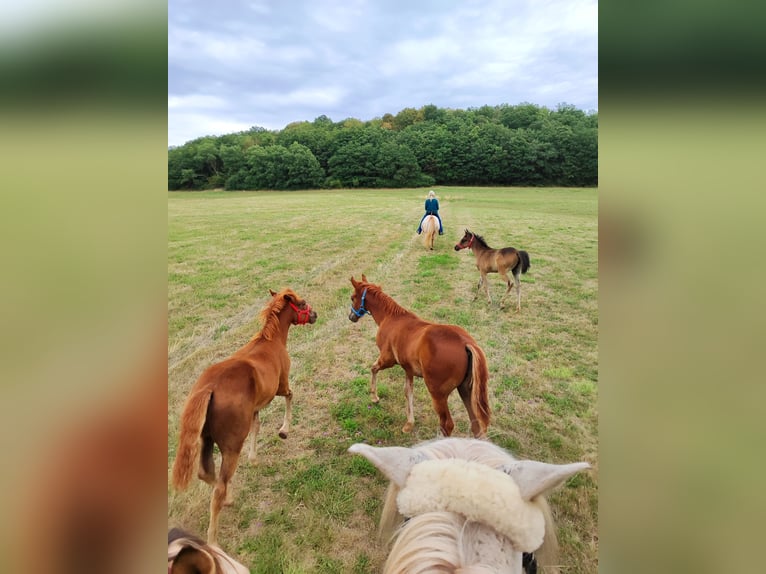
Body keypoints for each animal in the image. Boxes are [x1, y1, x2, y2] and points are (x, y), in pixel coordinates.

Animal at [171, 288, 317, 544]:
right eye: (302, 303)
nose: (315, 315)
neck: (271, 341)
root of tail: (208, 388)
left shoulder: (256, 407)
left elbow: (257, 427)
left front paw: (254, 458)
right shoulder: (281, 385)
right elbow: (291, 396)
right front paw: (284, 430)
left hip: (206, 439)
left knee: (206, 474)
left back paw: (229, 497)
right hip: (231, 446)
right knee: (218, 486)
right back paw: (213, 539)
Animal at [348, 275, 490, 438]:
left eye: (352, 297)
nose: (351, 316)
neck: (390, 317)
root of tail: (465, 343)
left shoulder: (387, 359)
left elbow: (373, 368)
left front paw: (374, 397)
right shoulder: (408, 369)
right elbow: (408, 392)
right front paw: (409, 424)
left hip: (438, 394)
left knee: (447, 424)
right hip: (466, 390)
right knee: (476, 425)